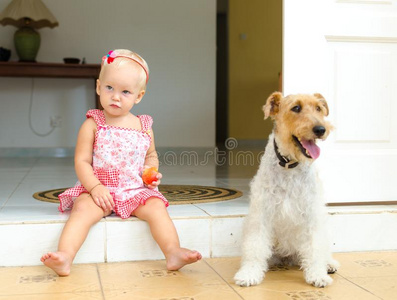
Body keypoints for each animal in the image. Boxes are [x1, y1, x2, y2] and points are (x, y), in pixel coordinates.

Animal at [234, 92, 338, 288]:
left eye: (318, 108)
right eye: (296, 108)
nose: (321, 129)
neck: (289, 165)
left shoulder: (311, 215)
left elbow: (315, 248)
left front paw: (317, 275)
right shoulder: (262, 215)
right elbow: (255, 247)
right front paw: (249, 274)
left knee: (321, 250)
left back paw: (329, 264)